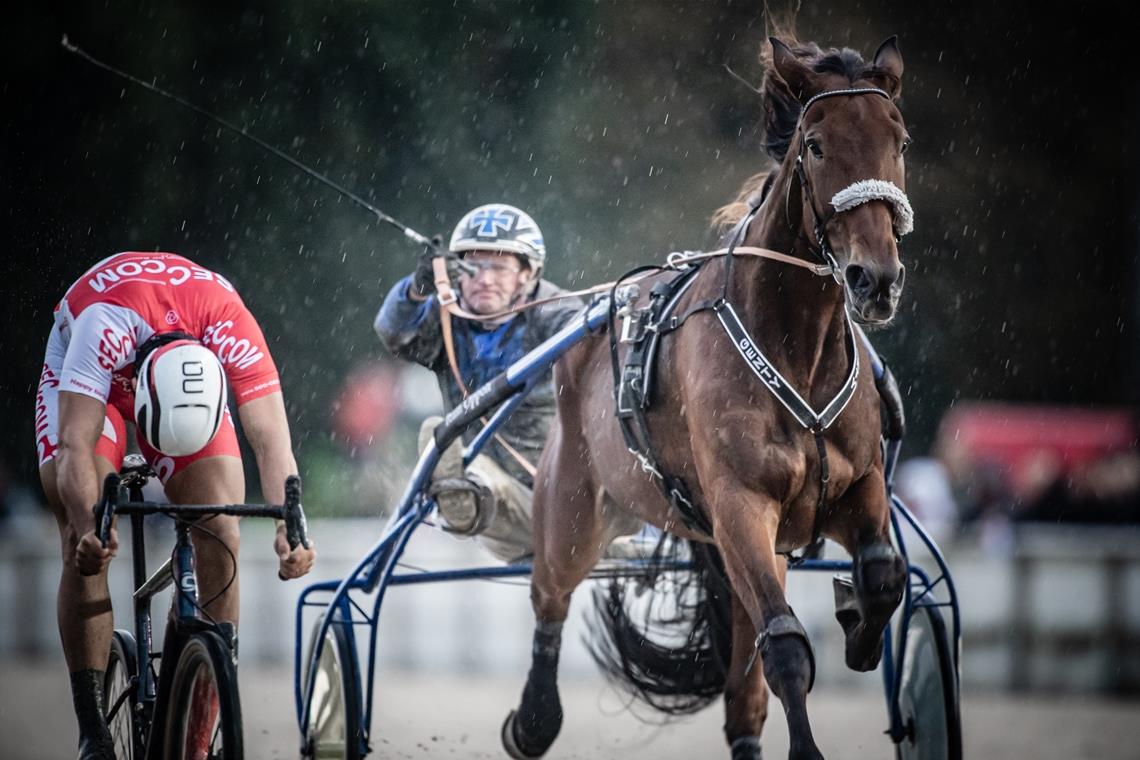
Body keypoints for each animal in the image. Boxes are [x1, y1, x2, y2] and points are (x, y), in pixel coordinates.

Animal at [503, 31, 912, 760]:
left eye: (899, 140)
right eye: (815, 145)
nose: (876, 279)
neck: (797, 351)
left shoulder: (855, 488)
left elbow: (883, 577)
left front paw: (859, 625)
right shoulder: (740, 506)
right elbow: (785, 649)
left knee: (744, 691)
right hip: (572, 508)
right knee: (550, 596)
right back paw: (534, 719)